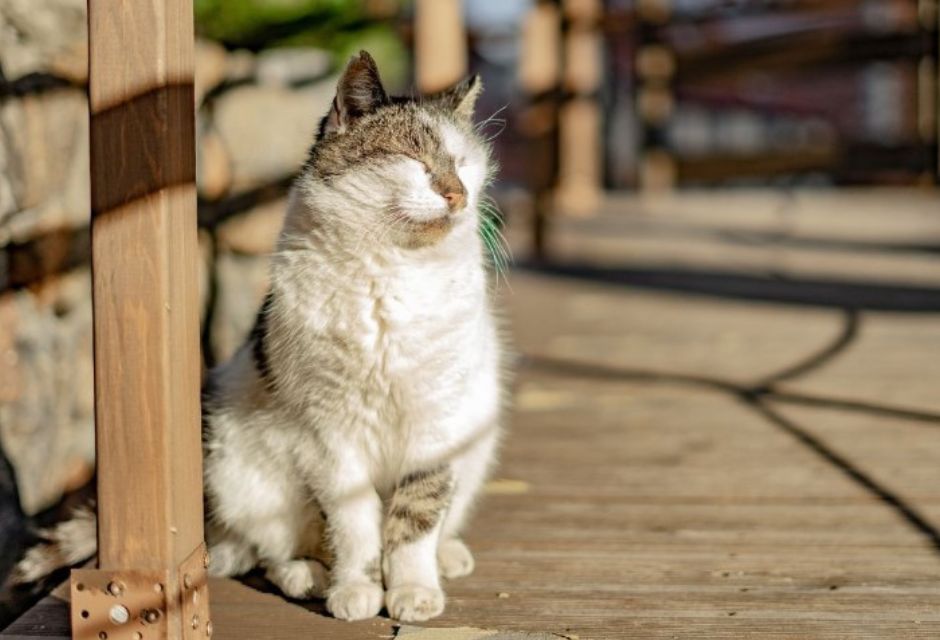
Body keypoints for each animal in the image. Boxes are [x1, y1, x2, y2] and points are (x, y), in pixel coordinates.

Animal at [12, 52, 506, 624]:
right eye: (414, 160)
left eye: (464, 163)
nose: (458, 194)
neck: (392, 277)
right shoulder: (331, 433)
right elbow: (355, 522)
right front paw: (358, 588)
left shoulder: (436, 422)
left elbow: (416, 517)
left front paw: (413, 590)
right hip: (243, 472)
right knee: (255, 552)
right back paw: (309, 576)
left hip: (477, 443)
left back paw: (446, 555)